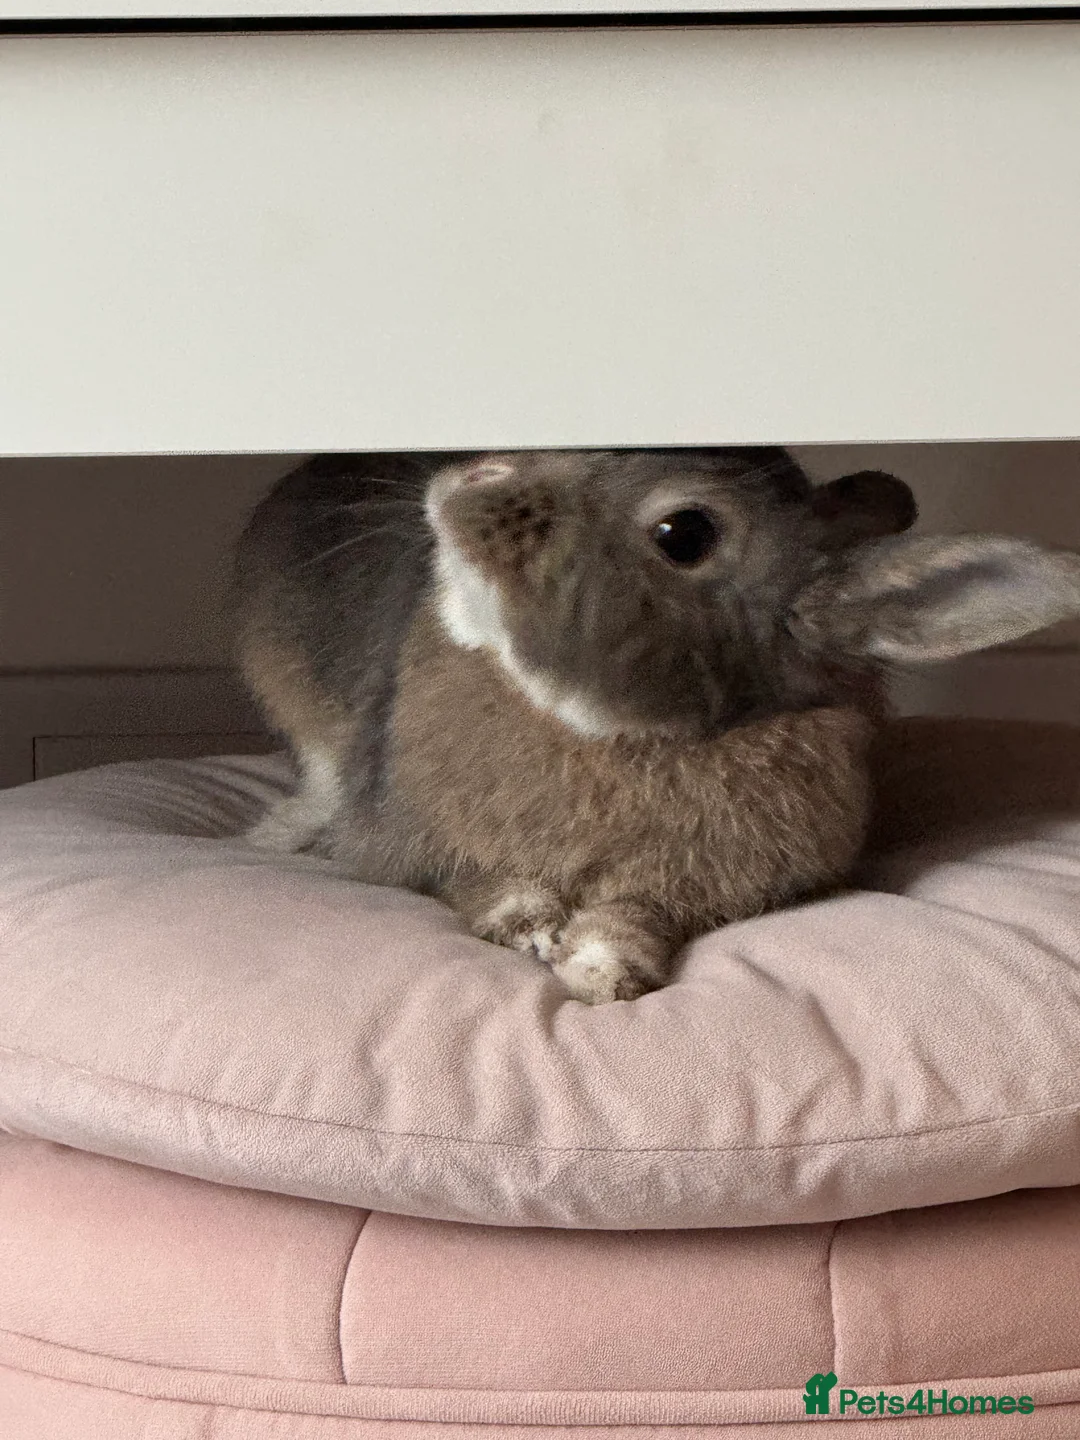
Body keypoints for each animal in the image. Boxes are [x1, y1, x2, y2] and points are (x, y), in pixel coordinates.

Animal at [235, 447, 1080, 1004]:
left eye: (685, 534)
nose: (473, 475)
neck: (622, 733)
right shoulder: (420, 844)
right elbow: (481, 885)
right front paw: (532, 928)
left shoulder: (701, 886)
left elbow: (637, 915)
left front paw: (601, 966)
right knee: (320, 775)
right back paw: (275, 834)